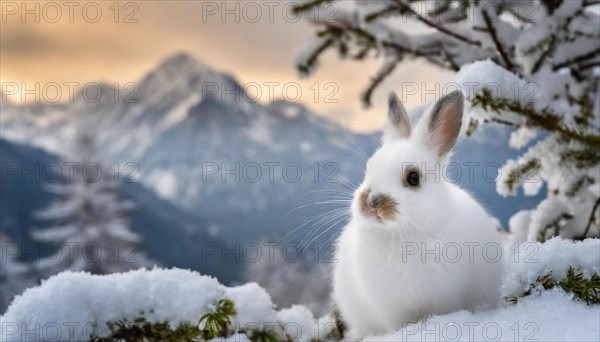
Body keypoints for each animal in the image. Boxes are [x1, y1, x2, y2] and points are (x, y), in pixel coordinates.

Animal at [336, 89, 504, 338]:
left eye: (413, 178)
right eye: (368, 170)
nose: (372, 202)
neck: (403, 234)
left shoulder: (444, 295)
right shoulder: (390, 306)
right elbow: (398, 324)